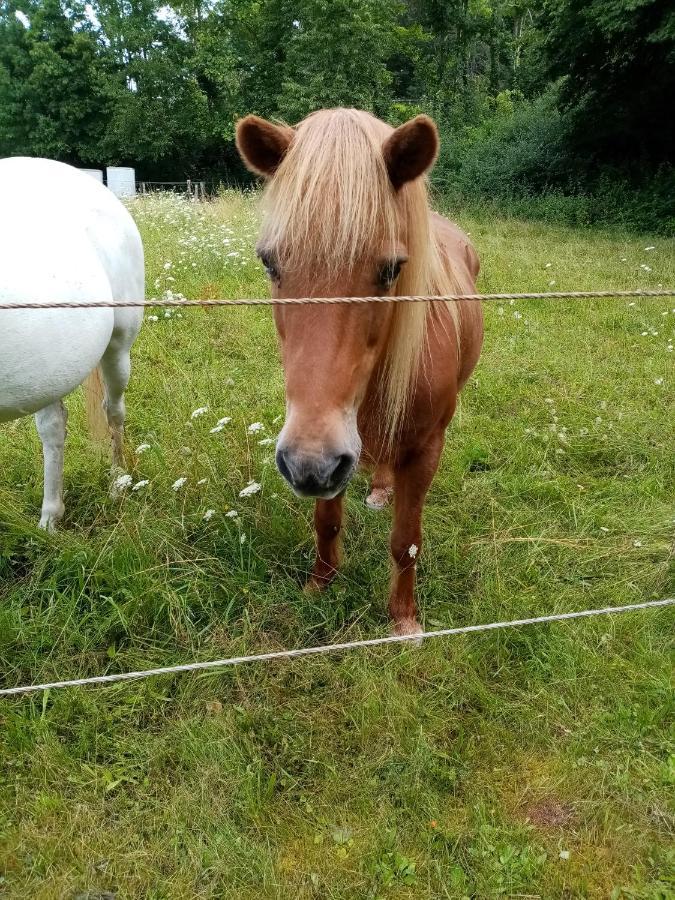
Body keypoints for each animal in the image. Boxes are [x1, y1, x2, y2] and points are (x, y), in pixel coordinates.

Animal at [0, 159, 144, 532]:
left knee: (113, 411)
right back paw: (51, 516)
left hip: (118, 347)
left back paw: (116, 483)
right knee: (53, 427)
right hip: (46, 374)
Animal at [235, 109, 484, 636]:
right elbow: (326, 521)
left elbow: (406, 539)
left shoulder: (425, 449)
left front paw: (404, 621)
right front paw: (319, 586)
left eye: (391, 270)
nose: (308, 463)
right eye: (270, 263)